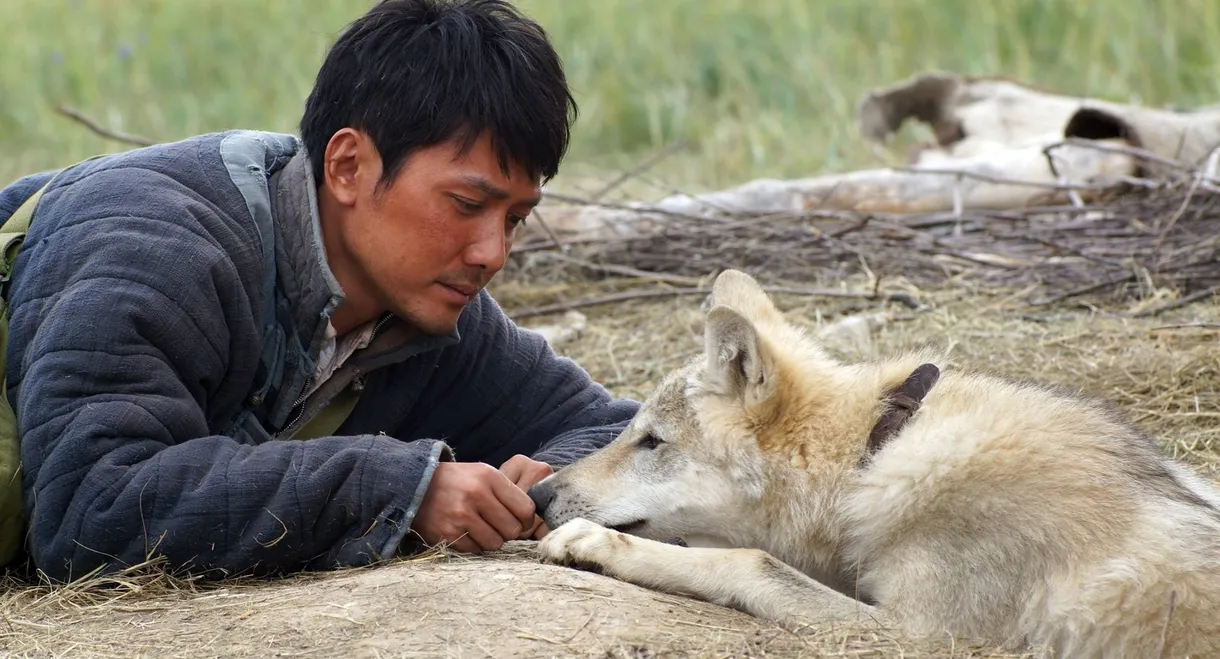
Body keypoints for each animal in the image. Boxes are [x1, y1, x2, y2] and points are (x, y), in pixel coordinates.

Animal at [529, 269, 1220, 658]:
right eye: (634, 433)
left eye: (652, 442)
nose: (537, 497)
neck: (874, 452)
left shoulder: (921, 638)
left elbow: (748, 562)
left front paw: (591, 544)